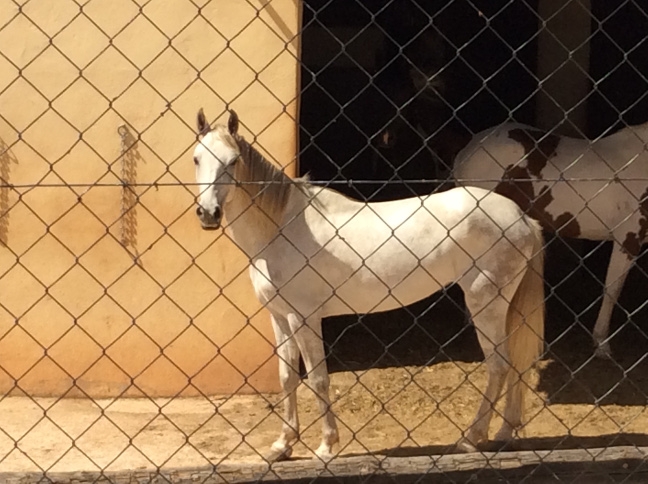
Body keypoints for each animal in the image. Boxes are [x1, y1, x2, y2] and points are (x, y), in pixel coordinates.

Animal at [192, 109, 545, 461]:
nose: (208, 214)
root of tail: (522, 218)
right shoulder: (279, 317)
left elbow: (318, 379)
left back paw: (472, 438)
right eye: (197, 158)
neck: (280, 229)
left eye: (233, 161)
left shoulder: (304, 318)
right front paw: (282, 445)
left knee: (499, 365)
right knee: (514, 365)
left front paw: (326, 446)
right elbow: (287, 377)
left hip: (484, 303)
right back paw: (504, 434)